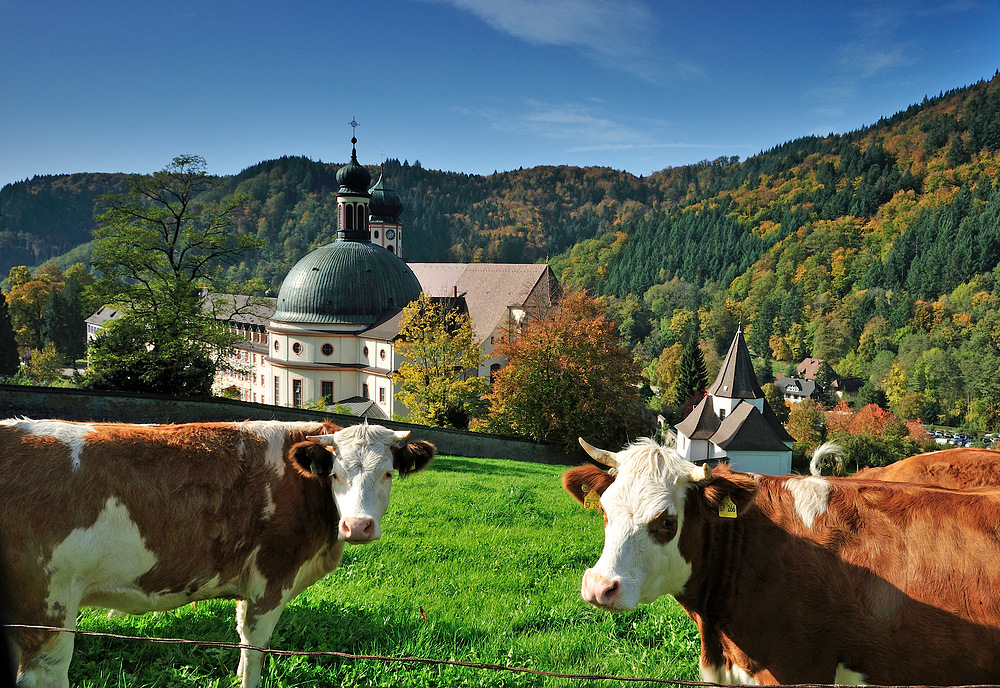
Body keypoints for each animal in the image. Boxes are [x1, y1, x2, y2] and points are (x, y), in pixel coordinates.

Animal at [1, 420, 436, 688]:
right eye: (335, 474)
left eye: (388, 473)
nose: (358, 526)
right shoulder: (271, 577)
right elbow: (255, 649)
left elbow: (242, 644)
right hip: (48, 606)